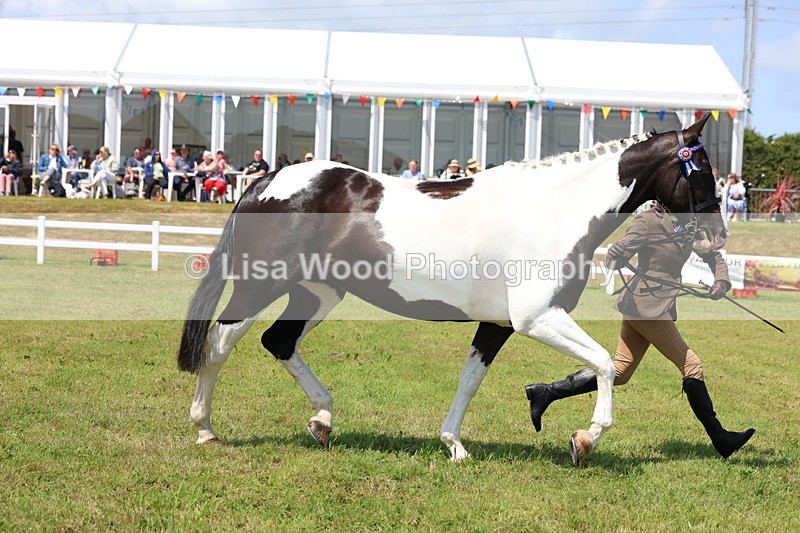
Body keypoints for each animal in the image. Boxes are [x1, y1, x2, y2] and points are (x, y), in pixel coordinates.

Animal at [178, 114, 726, 465]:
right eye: (702, 171)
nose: (717, 235)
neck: (554, 211)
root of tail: (266, 180)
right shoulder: (538, 318)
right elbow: (604, 365)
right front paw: (585, 438)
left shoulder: (498, 325)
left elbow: (469, 381)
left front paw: (454, 445)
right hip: (259, 285)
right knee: (219, 342)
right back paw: (205, 429)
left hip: (318, 293)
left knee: (279, 341)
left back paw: (323, 420)